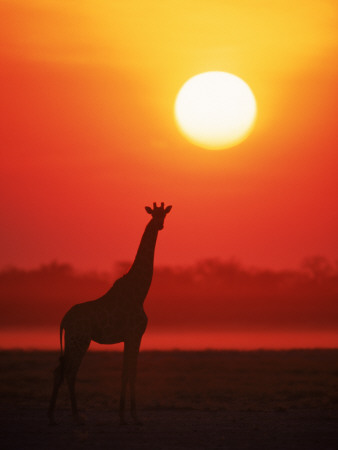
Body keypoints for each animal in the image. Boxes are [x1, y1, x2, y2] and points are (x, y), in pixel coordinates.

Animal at [47, 204, 172, 426]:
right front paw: (134, 416)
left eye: (164, 214)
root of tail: (64, 320)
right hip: (80, 340)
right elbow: (132, 373)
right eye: (153, 214)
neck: (140, 292)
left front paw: (122, 415)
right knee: (70, 372)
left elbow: (124, 373)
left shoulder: (129, 337)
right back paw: (77, 416)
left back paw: (53, 416)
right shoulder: (135, 334)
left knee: (59, 370)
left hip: (72, 340)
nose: (160, 225)